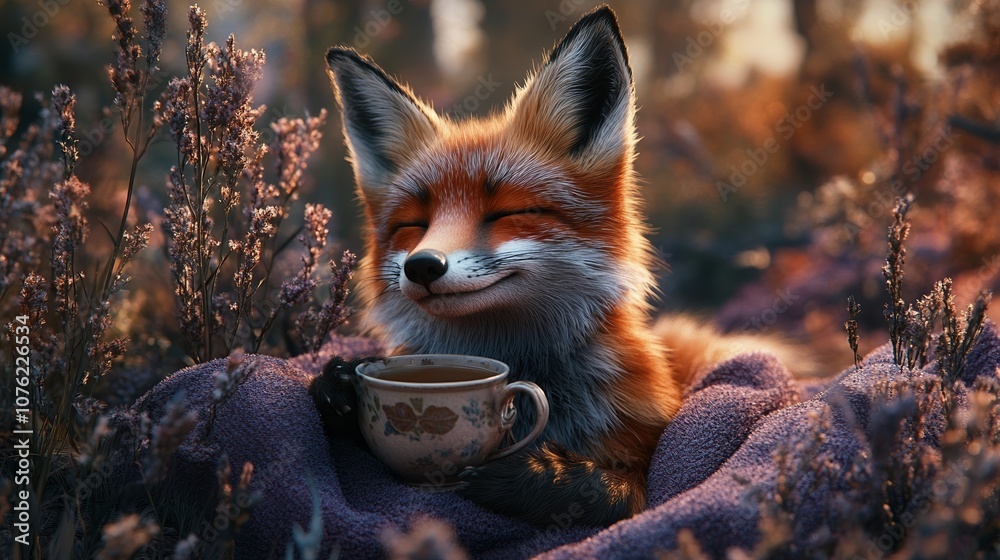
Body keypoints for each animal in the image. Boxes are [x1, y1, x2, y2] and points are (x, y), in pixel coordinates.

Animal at [312, 5, 805, 526]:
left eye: (507, 213)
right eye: (413, 224)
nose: (423, 266)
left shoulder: (646, 464)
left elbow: (612, 491)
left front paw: (528, 475)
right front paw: (341, 386)